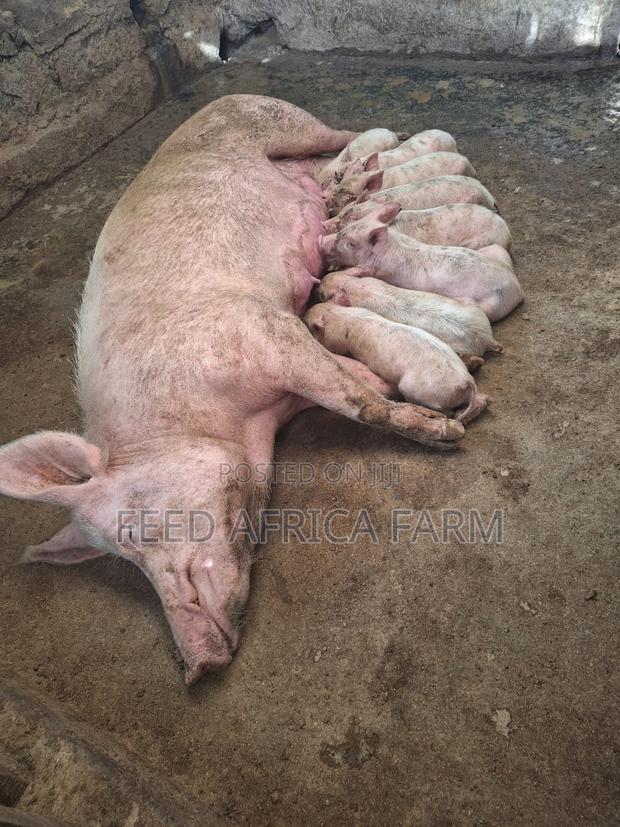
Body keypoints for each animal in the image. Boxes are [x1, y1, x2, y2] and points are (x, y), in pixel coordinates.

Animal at [0, 96, 464, 685]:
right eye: (124, 564)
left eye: (135, 533)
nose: (197, 666)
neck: (244, 425)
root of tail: (215, 101)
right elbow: (356, 382)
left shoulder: (263, 331)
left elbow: (361, 405)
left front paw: (447, 433)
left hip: (281, 122)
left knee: (340, 133)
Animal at [304, 303, 489, 423]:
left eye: (309, 324)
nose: (304, 312)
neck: (342, 316)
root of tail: (467, 382)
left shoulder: (339, 342)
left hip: (416, 389)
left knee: (446, 411)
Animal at [317, 271, 502, 357]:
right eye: (328, 275)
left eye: (323, 295)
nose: (317, 290)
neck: (350, 285)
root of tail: (487, 338)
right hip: (470, 303)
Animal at [320, 203, 524, 322]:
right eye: (345, 229)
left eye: (351, 243)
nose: (320, 239)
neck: (391, 245)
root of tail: (516, 285)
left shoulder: (381, 271)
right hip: (496, 251)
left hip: (491, 305)